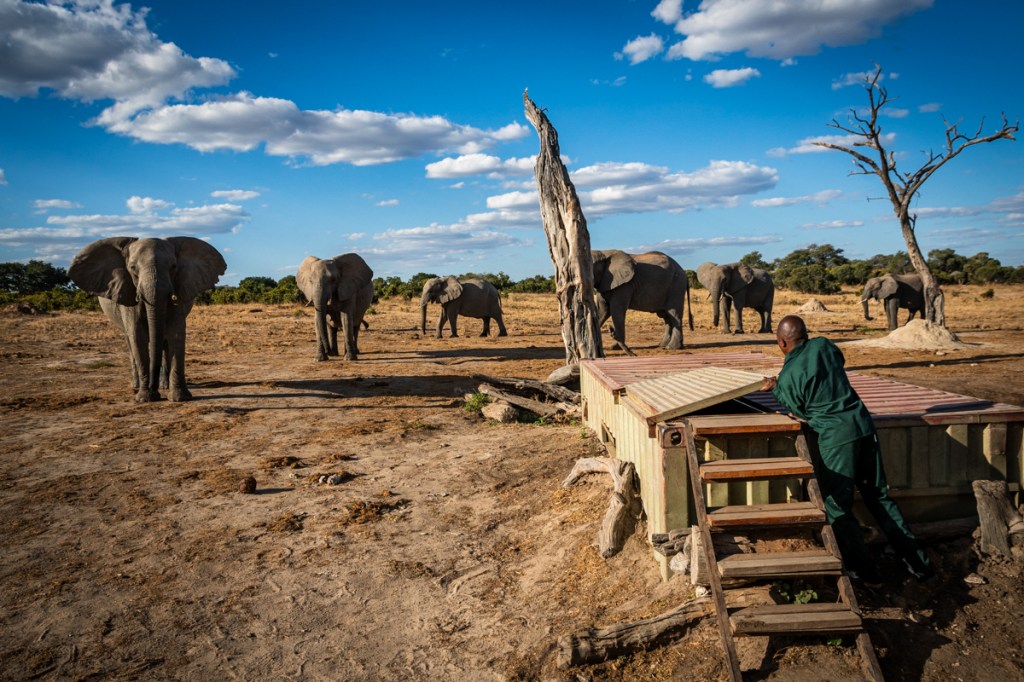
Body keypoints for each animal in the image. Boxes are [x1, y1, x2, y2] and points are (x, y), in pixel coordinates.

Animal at [68, 236, 226, 402]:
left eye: (173, 267)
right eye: (132, 268)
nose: (153, 388)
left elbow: (176, 334)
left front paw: (179, 398)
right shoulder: (128, 293)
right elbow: (138, 336)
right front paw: (145, 398)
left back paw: (164, 385)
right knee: (130, 342)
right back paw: (136, 385)